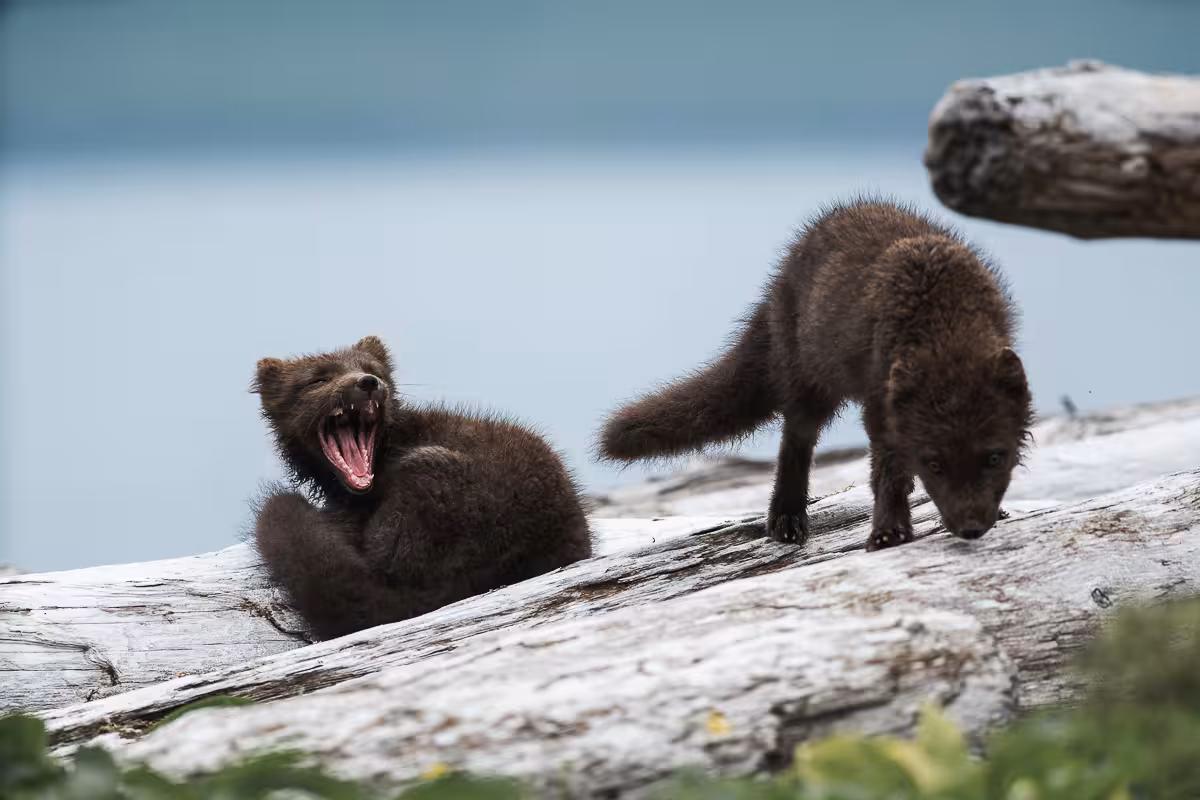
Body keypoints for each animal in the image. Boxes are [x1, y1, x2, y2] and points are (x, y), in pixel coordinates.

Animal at [596, 198, 1034, 551]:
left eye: (996, 457)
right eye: (935, 463)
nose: (972, 528)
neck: (944, 319)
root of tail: (777, 282)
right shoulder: (880, 400)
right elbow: (887, 470)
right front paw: (888, 533)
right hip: (805, 377)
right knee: (796, 440)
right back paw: (786, 520)